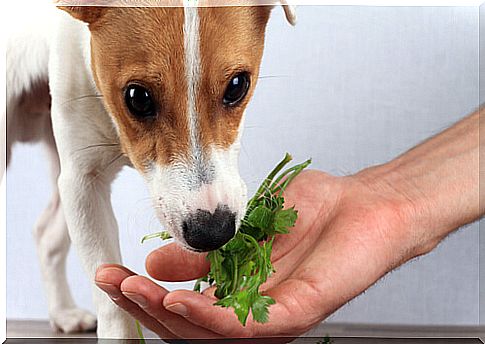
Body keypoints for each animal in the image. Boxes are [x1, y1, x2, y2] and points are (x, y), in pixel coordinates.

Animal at [5, 0, 294, 338]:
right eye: (137, 97)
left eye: (237, 86)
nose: (211, 232)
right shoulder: (83, 181)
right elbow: (112, 303)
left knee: (47, 235)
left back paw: (63, 312)